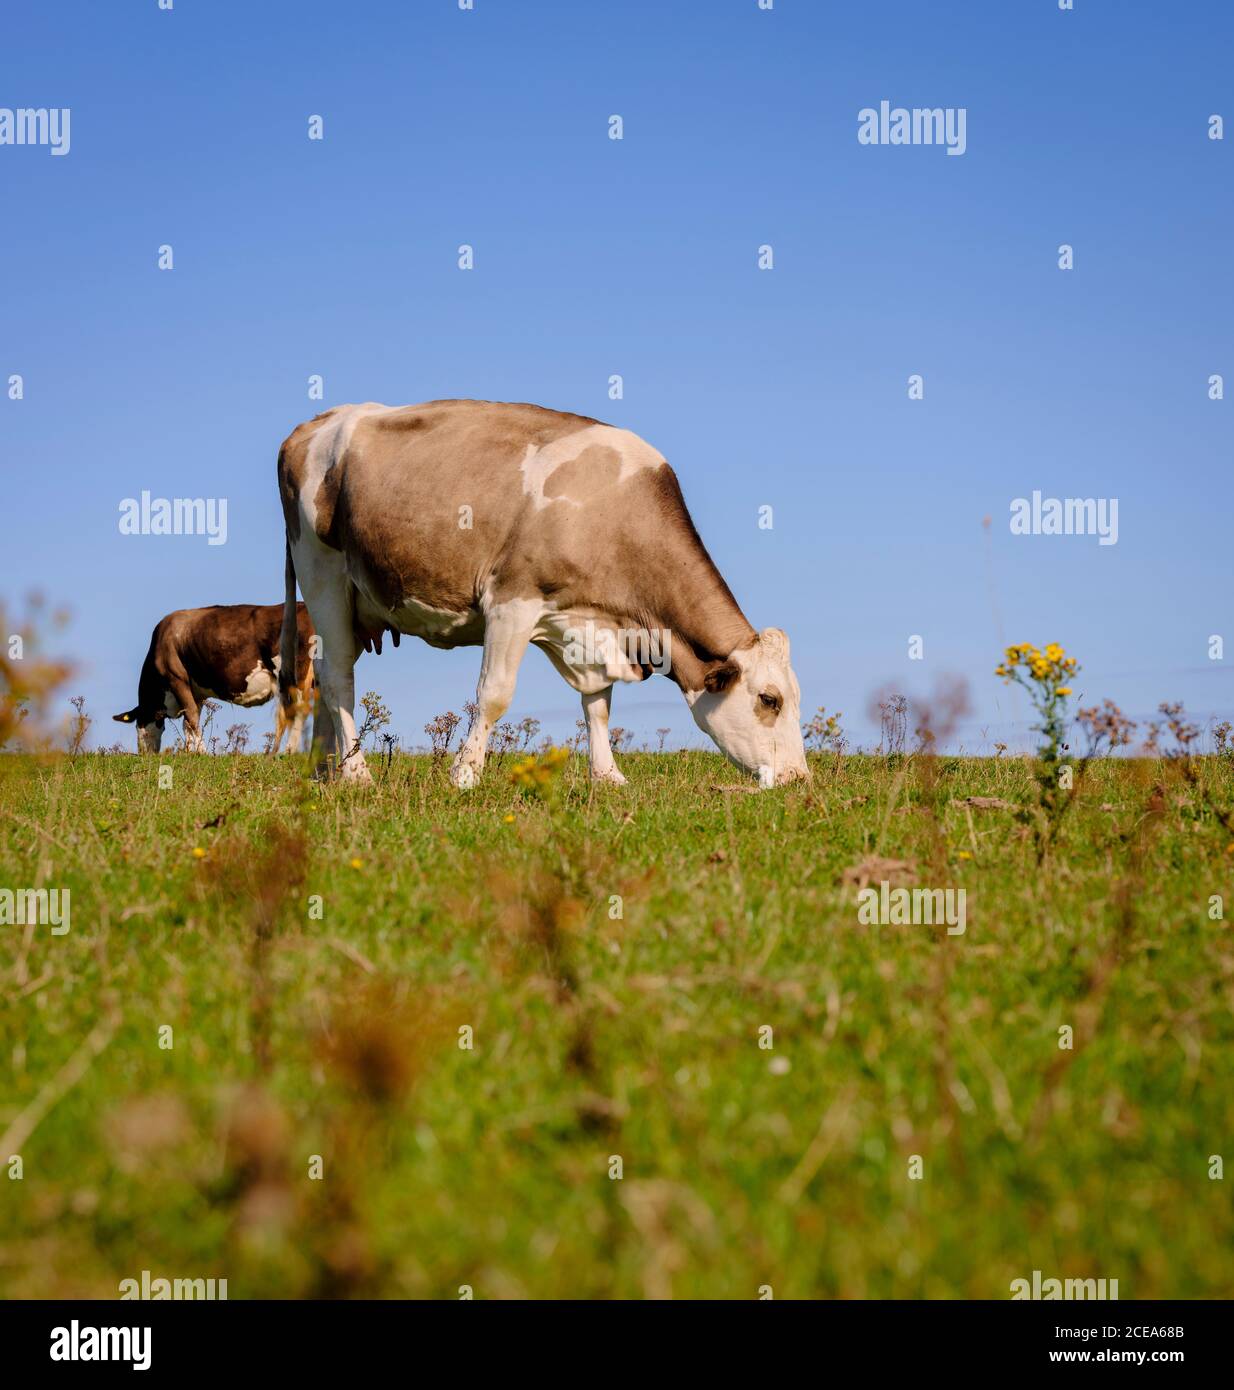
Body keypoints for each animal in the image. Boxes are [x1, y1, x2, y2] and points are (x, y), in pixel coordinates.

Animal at [113, 603, 316, 754]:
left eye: (139, 727)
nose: (144, 754)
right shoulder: (196, 692)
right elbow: (188, 722)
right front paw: (190, 752)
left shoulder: (177, 679)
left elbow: (191, 717)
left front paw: (202, 752)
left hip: (294, 675)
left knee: (298, 710)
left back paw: (288, 751)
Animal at [277, 400, 809, 788]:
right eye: (770, 699)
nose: (799, 777)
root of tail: (315, 424)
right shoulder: (512, 600)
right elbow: (494, 694)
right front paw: (464, 775)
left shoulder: (590, 624)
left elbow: (598, 704)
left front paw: (608, 776)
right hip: (321, 571)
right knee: (338, 676)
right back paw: (357, 771)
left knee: (327, 679)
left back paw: (325, 770)